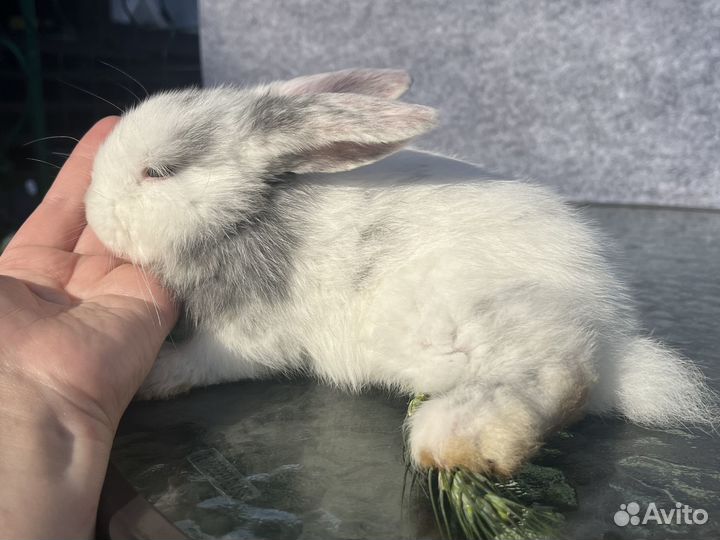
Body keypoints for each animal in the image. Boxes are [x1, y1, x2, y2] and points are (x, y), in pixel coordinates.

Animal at [85, 68, 717, 477]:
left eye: (160, 172)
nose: (93, 216)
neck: (247, 212)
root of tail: (618, 340)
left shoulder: (248, 336)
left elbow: (205, 361)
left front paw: (154, 375)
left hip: (467, 325)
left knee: (562, 372)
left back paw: (456, 438)